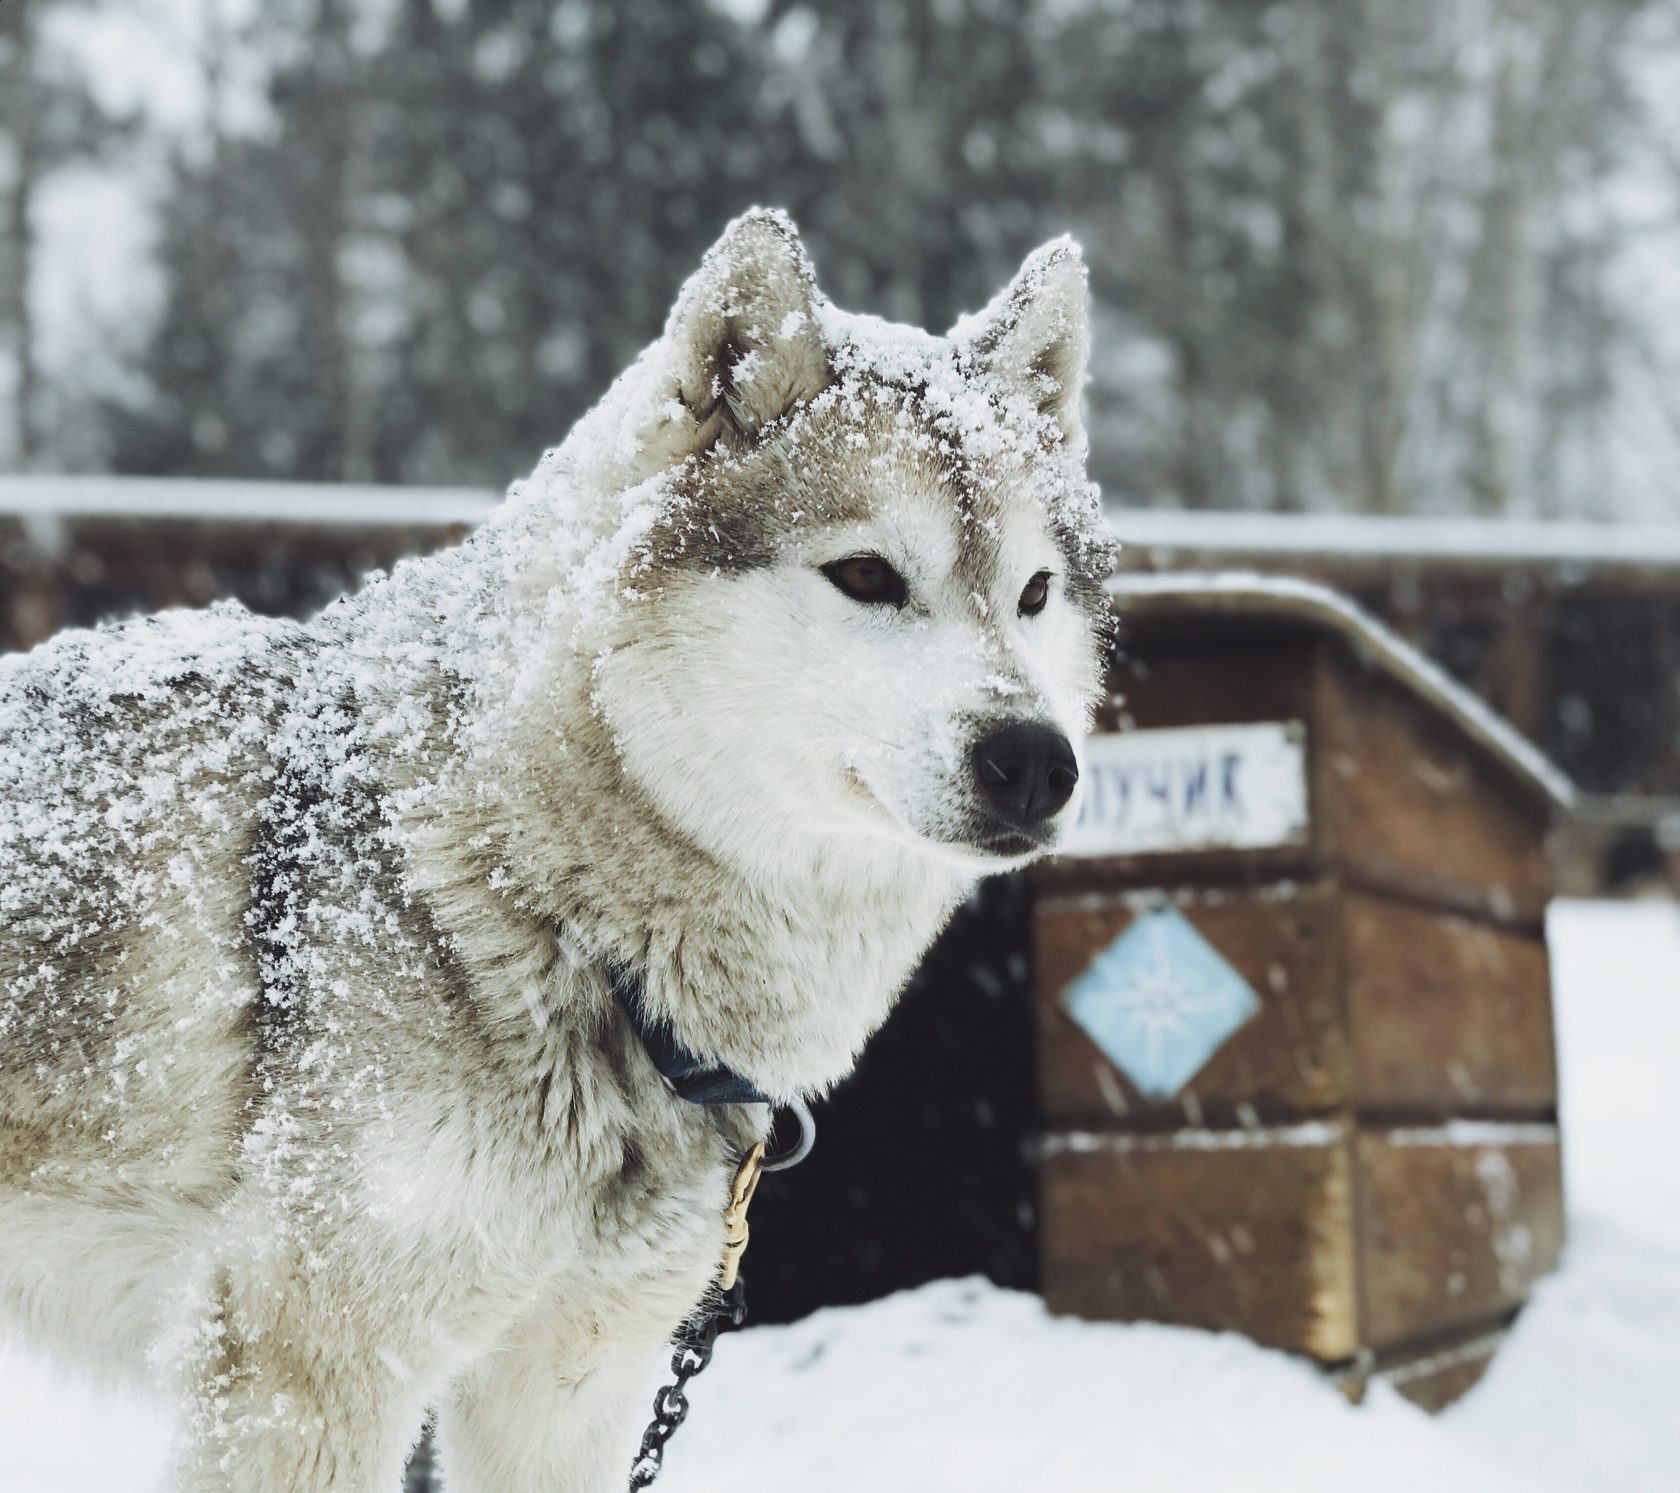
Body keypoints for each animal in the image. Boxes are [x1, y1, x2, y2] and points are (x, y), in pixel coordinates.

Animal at [0, 212, 1115, 1491]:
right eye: (868, 575)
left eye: (1034, 593)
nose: (1035, 760)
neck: (539, 915)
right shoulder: (298, 1380)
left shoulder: (564, 1387)